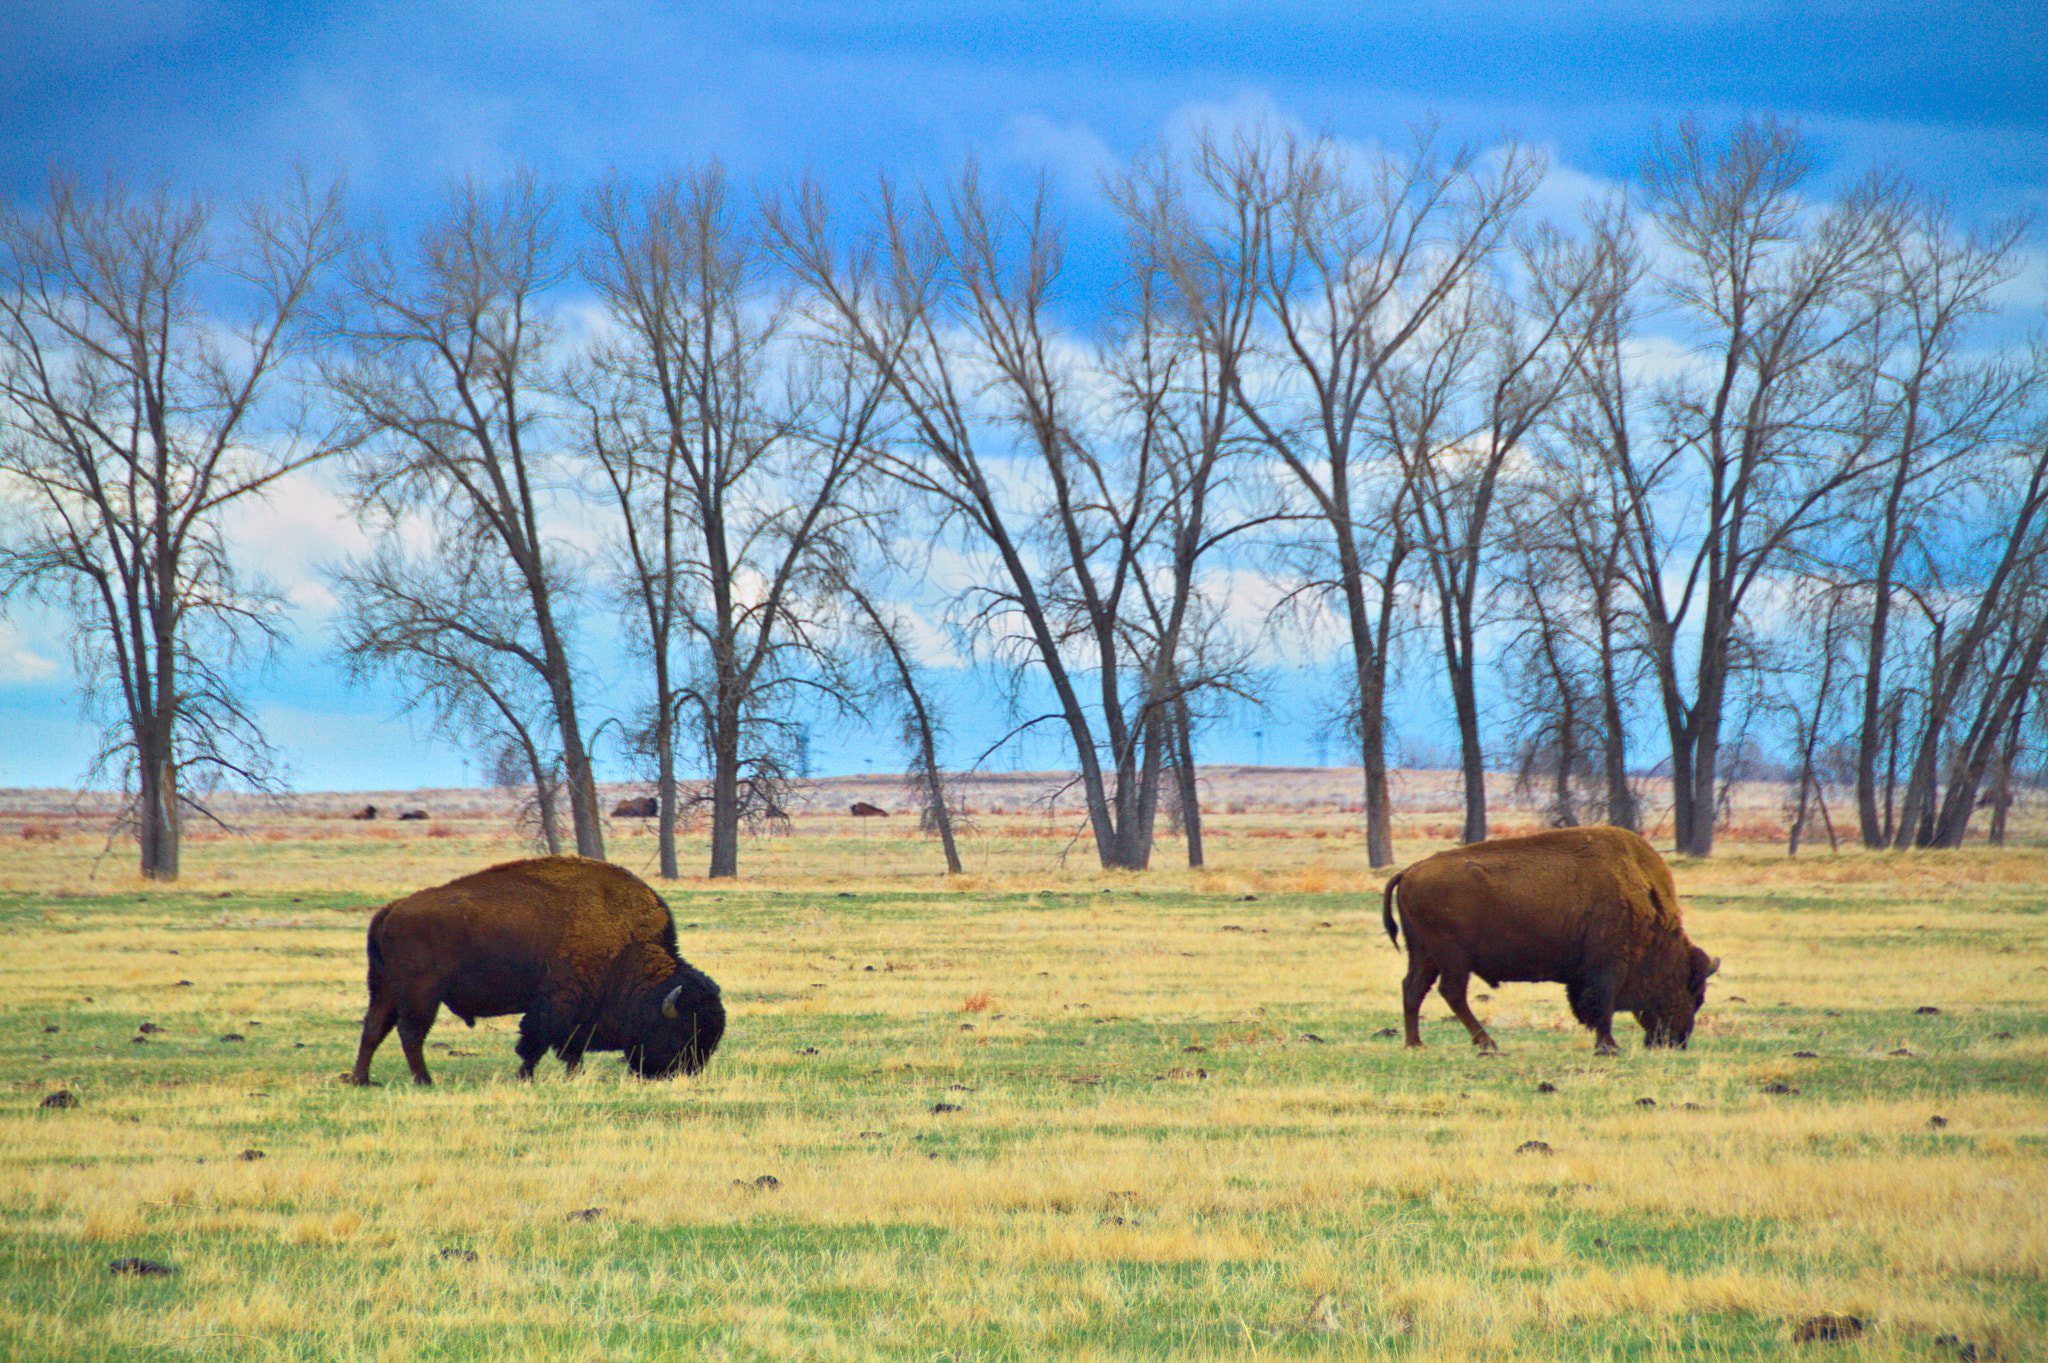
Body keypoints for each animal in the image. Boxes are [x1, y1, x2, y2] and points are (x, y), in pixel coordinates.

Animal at [352, 851, 729, 1080]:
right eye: (683, 1032)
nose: (683, 1073)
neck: (628, 949)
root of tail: (392, 908)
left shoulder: (577, 1013)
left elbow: (569, 1048)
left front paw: (571, 1076)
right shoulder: (556, 1003)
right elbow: (536, 1043)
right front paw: (526, 1077)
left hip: (384, 989)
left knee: (374, 1028)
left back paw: (361, 1080)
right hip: (420, 995)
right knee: (410, 1034)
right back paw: (424, 1081)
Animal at [1376, 822, 1712, 1056]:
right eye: (1693, 992)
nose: (1677, 1041)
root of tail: (1409, 871)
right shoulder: (1608, 966)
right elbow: (1602, 1008)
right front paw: (1609, 1047)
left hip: (1424, 954)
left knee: (1413, 989)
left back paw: (1416, 1044)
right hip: (1453, 957)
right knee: (1451, 992)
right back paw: (1487, 1043)